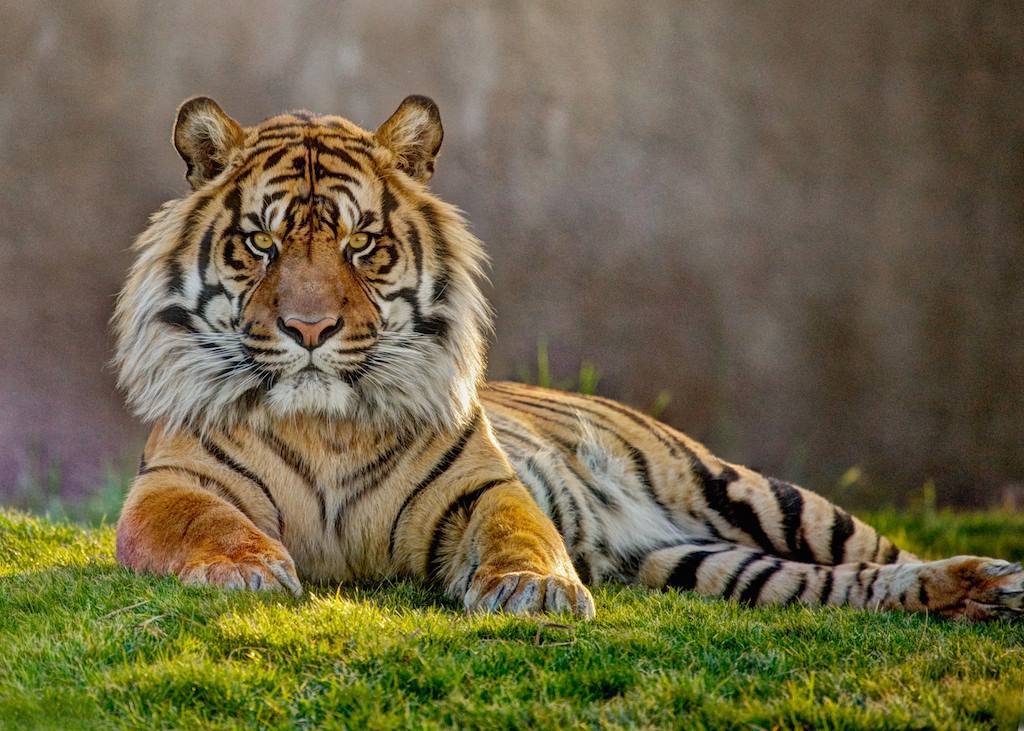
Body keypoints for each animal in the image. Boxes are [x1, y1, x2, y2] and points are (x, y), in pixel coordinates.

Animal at [112, 95, 1024, 622]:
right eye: (262, 244)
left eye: (361, 243)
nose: (310, 330)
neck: (324, 424)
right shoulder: (168, 487)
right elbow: (205, 522)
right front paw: (246, 572)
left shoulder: (482, 485)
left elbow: (520, 529)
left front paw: (538, 590)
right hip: (697, 564)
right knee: (845, 586)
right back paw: (971, 594)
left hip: (755, 493)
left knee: (878, 553)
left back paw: (995, 577)